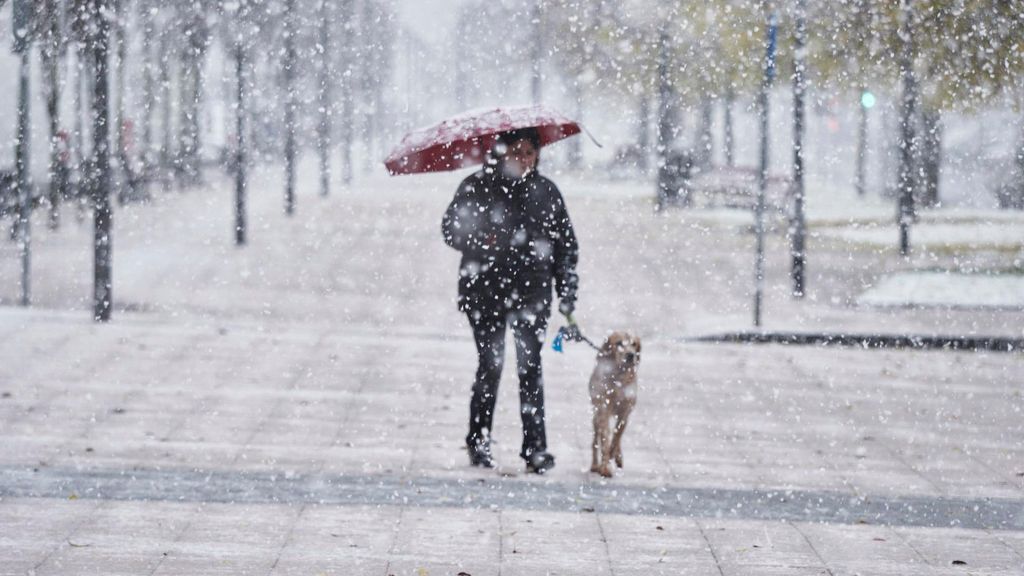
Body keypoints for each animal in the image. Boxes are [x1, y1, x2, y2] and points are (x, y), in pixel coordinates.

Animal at [593, 330, 638, 477]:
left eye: (634, 344)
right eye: (619, 343)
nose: (630, 355)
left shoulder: (625, 412)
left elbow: (617, 435)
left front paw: (614, 454)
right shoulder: (603, 410)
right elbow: (605, 440)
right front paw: (605, 468)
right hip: (596, 416)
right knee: (595, 441)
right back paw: (595, 465)